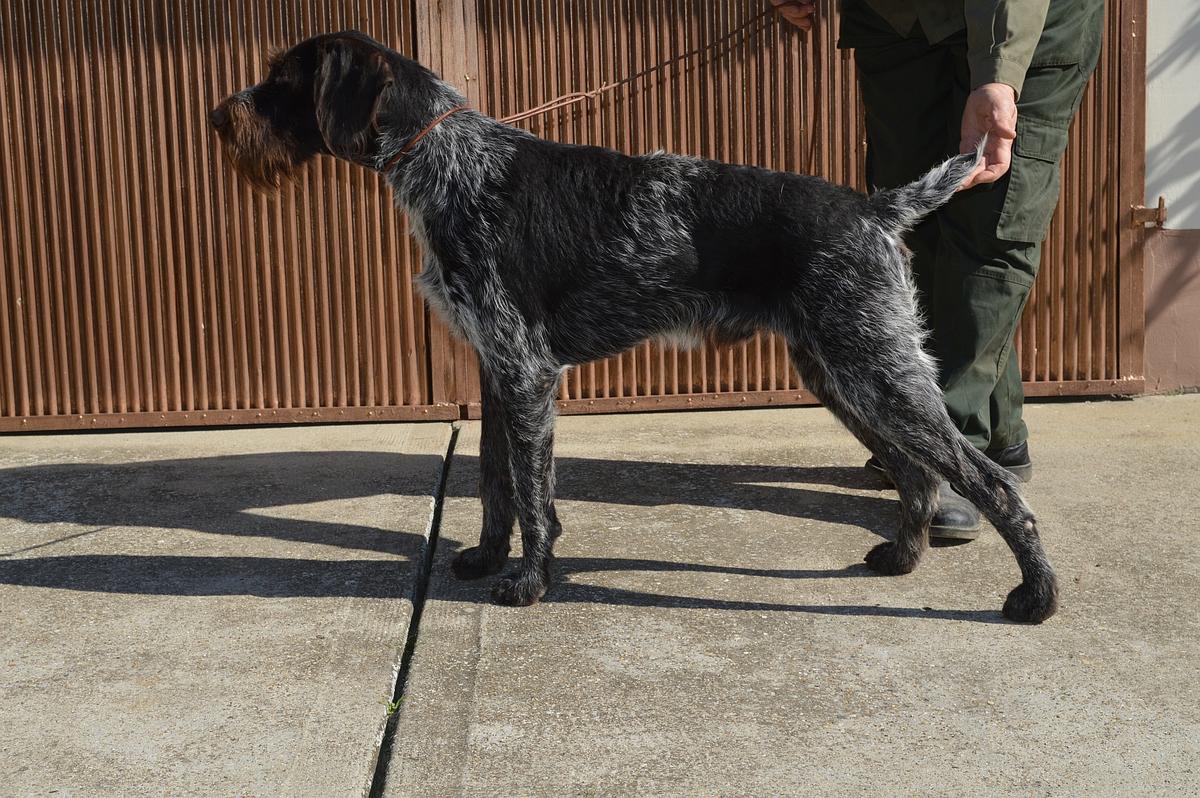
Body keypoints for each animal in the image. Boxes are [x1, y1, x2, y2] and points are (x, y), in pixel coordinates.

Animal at [213, 32, 1060, 624]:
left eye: (283, 78)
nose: (220, 114)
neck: (446, 160)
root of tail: (874, 209)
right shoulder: (496, 368)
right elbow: (493, 482)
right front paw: (488, 559)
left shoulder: (525, 371)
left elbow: (530, 493)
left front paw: (528, 582)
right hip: (843, 371)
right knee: (918, 473)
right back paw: (903, 558)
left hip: (873, 367)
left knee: (990, 483)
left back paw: (1036, 597)